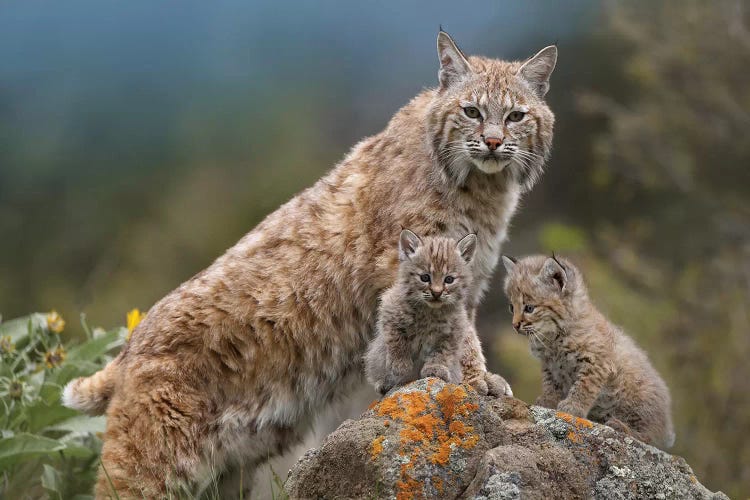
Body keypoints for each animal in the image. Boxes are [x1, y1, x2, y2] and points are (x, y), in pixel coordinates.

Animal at [368, 230, 502, 394]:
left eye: (449, 279)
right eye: (425, 277)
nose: (436, 293)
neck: (430, 311)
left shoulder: (454, 331)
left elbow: (442, 353)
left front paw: (435, 369)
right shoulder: (389, 311)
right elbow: (396, 341)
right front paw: (400, 366)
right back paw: (384, 383)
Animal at [506, 256, 676, 448]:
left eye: (529, 308)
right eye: (512, 307)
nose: (515, 325)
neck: (554, 336)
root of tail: (668, 426)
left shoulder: (598, 362)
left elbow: (584, 385)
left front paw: (573, 407)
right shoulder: (550, 365)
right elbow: (551, 384)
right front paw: (548, 401)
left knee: (651, 437)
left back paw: (621, 426)